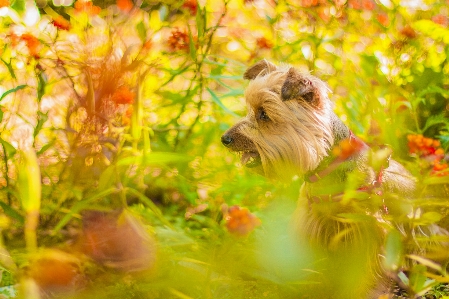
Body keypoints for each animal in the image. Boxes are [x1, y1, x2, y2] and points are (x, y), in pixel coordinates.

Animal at [221, 59, 448, 298]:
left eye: (263, 114)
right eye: (250, 110)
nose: (224, 139)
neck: (326, 170)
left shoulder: (370, 233)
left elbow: (367, 273)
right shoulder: (311, 223)